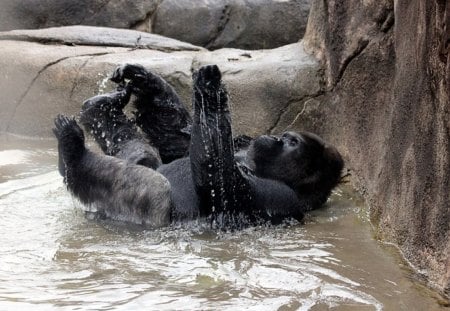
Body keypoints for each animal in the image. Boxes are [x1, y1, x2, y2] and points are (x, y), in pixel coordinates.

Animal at [54, 64, 344, 229]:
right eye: (286, 137)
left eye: (292, 143)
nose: (276, 139)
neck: (252, 163)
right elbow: (179, 139)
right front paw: (146, 79)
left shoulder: (279, 195)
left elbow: (217, 179)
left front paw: (211, 91)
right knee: (145, 159)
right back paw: (100, 108)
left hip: (147, 212)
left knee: (152, 184)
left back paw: (73, 153)